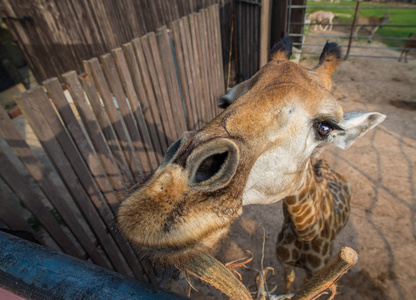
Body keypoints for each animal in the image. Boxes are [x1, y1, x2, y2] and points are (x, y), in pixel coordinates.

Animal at [116, 35, 384, 296]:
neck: (305, 232)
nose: (155, 201)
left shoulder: (315, 273)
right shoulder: (285, 263)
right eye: (225, 103)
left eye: (325, 127)